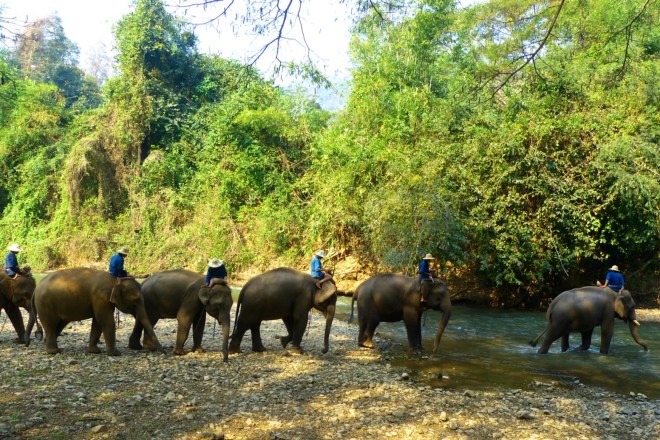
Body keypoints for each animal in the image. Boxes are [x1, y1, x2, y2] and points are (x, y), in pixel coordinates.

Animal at [24, 268, 164, 355]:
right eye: (135, 300)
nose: (164, 352)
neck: (115, 280)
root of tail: (36, 288)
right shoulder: (101, 297)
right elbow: (106, 320)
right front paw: (115, 354)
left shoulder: (100, 300)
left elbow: (97, 322)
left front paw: (94, 352)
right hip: (45, 304)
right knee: (50, 325)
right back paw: (54, 352)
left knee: (58, 325)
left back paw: (49, 345)